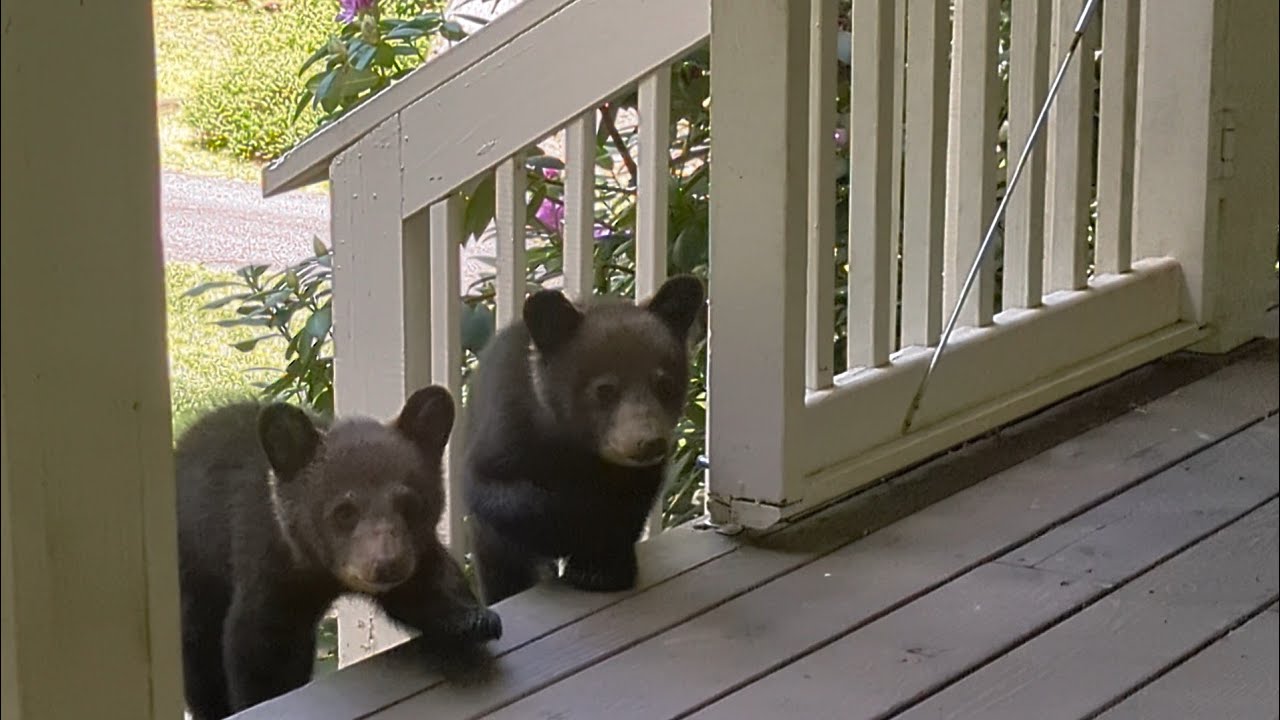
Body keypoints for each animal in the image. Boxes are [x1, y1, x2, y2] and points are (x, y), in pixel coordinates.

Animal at [175, 385, 501, 720]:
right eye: (344, 511)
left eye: (410, 505)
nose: (387, 564)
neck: (321, 572)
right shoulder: (269, 565)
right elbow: (259, 647)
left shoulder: (414, 552)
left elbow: (429, 583)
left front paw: (473, 619)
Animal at [462, 275, 705, 605]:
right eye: (604, 389)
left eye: (665, 384)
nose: (650, 442)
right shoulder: (505, 433)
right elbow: (495, 492)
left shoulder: (639, 476)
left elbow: (631, 506)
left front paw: (603, 568)